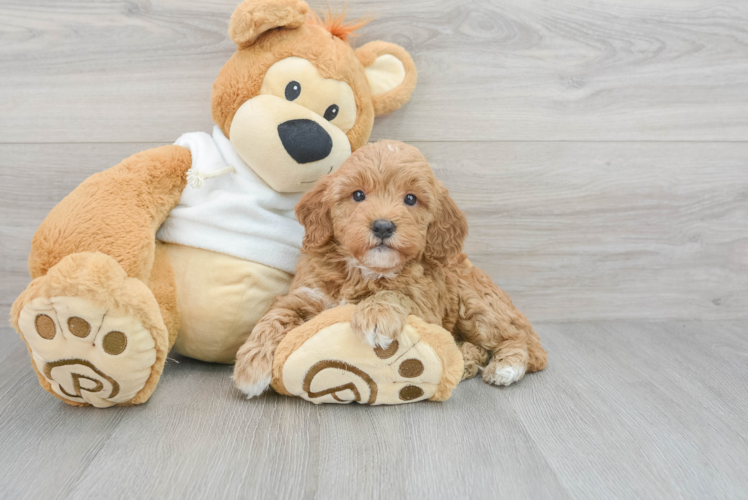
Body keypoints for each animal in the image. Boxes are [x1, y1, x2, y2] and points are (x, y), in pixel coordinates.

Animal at [235, 139, 548, 396]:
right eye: (358, 195)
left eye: (410, 198)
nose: (383, 226)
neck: (362, 270)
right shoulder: (306, 294)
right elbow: (275, 317)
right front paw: (251, 366)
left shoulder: (426, 305)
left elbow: (395, 292)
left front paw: (376, 316)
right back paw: (465, 360)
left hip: (476, 306)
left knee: (518, 340)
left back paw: (505, 368)